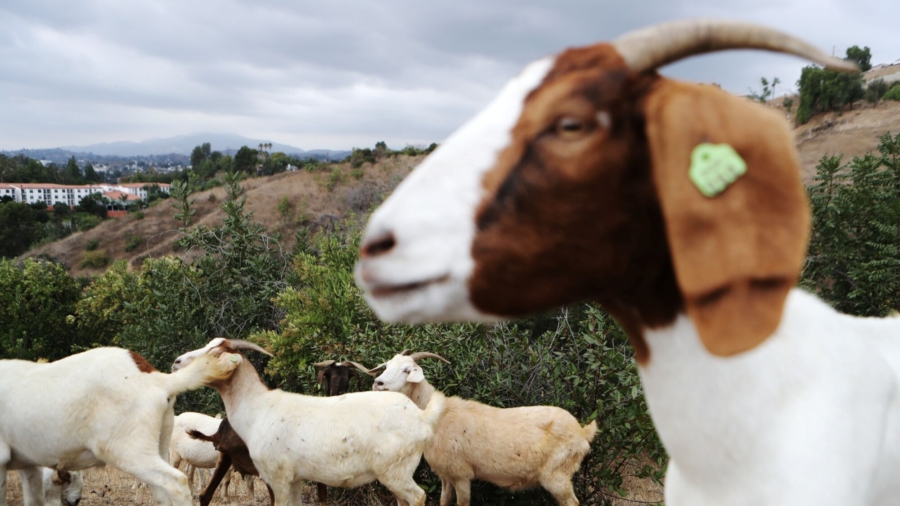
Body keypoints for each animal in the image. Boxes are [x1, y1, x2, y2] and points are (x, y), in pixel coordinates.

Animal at [0, 347, 227, 506]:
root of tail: (158, 379)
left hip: (127, 450)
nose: (75, 501)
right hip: (160, 445)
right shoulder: (28, 465)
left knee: (176, 482)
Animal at [172, 338, 446, 506]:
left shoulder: (277, 477)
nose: (176, 362)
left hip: (395, 470)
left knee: (418, 496)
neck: (259, 407)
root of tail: (420, 416)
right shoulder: (294, 479)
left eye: (216, 353)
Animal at [370, 350, 596, 506]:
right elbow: (444, 501)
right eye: (387, 366)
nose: (378, 383)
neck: (439, 416)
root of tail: (582, 432)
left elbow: (462, 503)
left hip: (558, 474)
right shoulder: (446, 475)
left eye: (407, 370)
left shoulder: (462, 474)